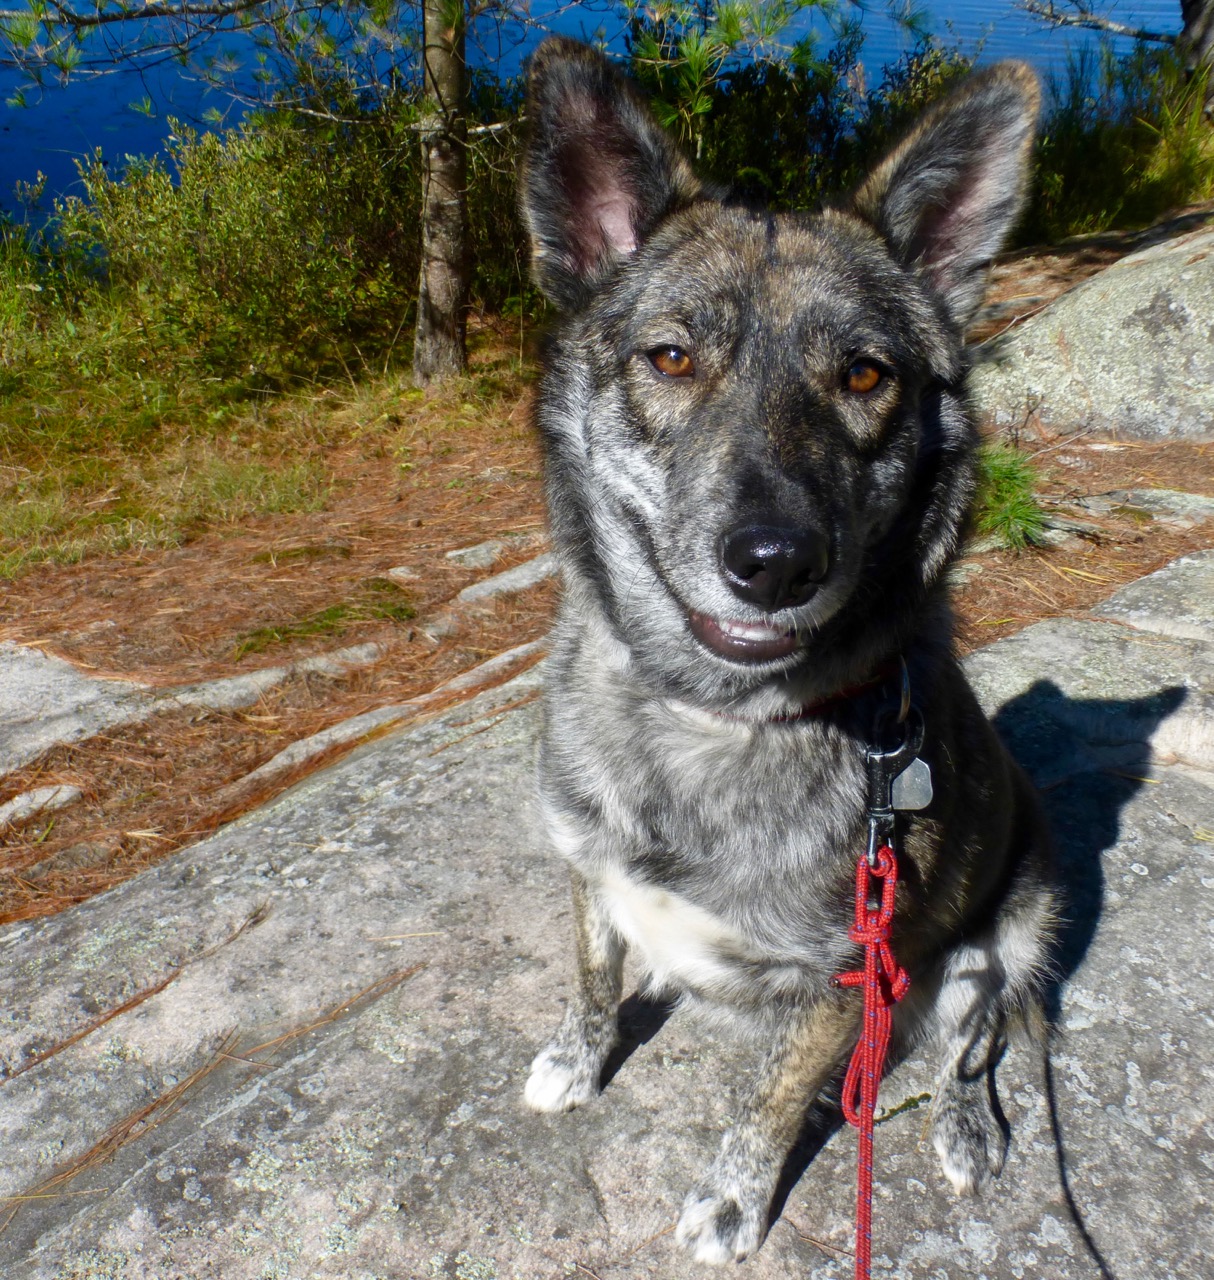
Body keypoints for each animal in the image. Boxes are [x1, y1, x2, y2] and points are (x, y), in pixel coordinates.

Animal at [517, 35, 1055, 1264]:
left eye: (864, 375)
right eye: (670, 357)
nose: (773, 561)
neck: (709, 716)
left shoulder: (848, 973)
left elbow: (766, 1101)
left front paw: (731, 1200)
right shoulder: (585, 869)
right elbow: (590, 973)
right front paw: (577, 1055)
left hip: (1011, 928)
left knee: (986, 1030)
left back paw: (964, 1126)